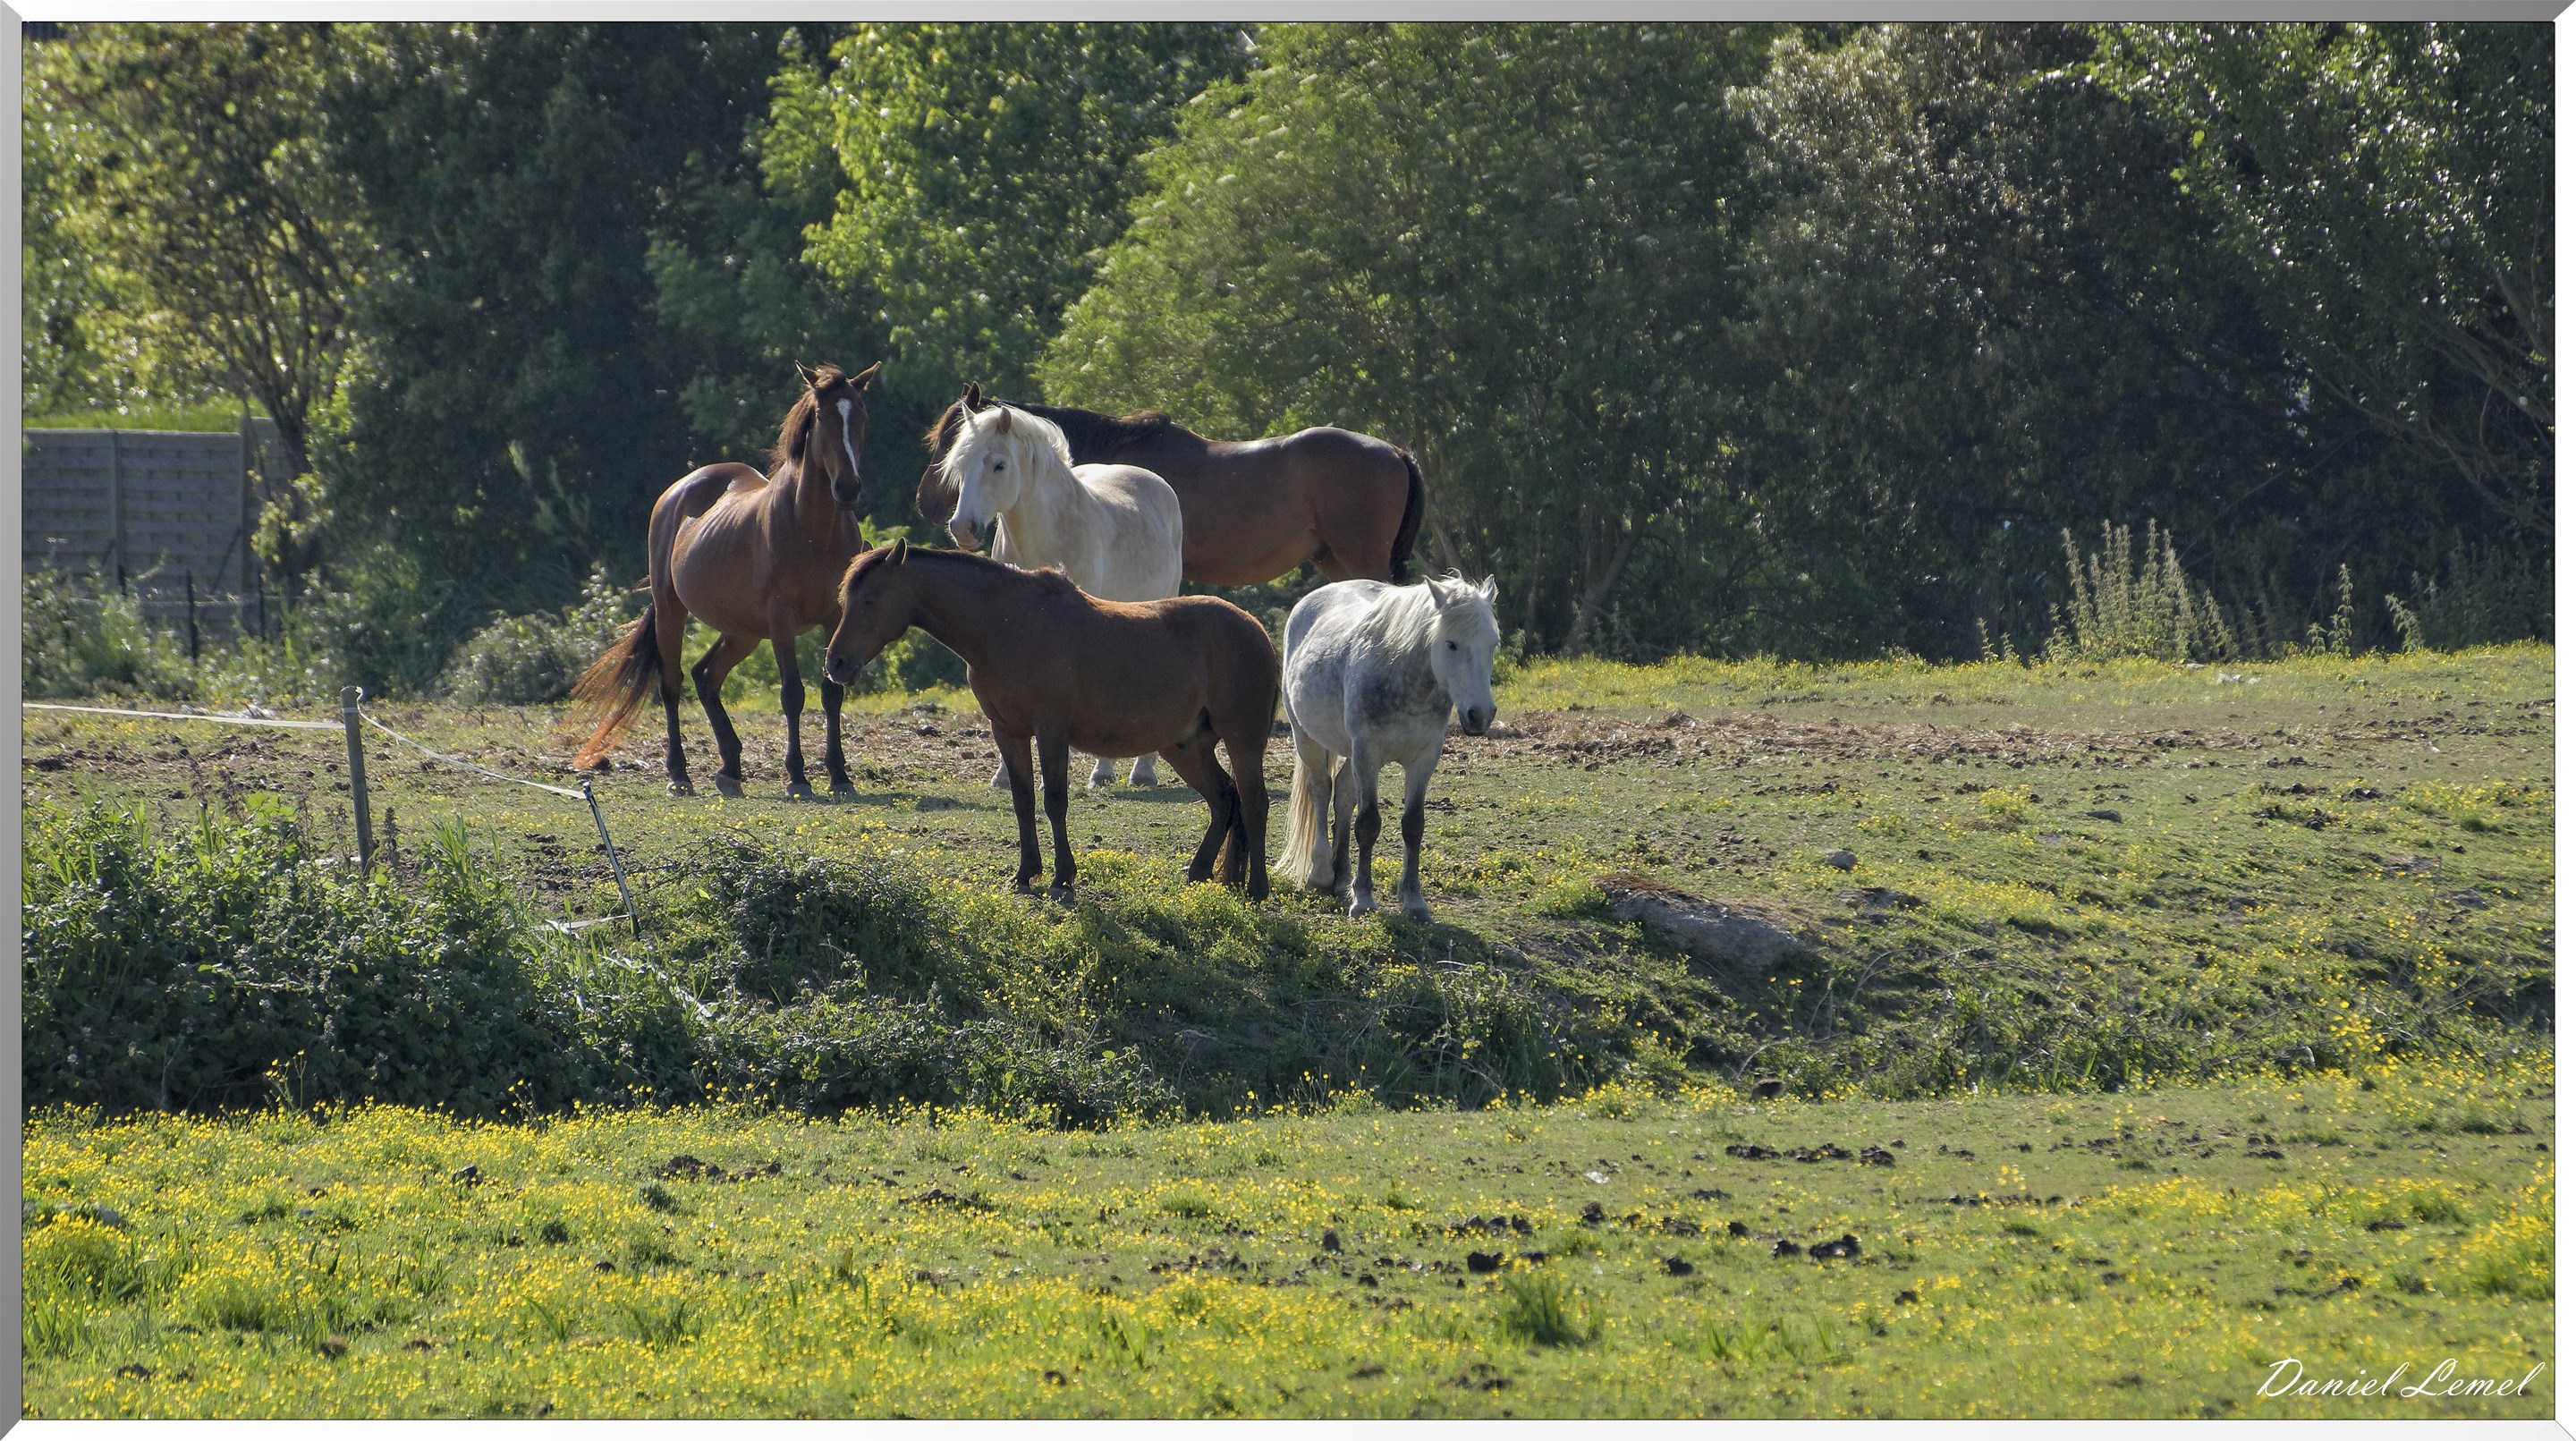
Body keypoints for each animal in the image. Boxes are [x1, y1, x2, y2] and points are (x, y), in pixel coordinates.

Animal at [568, 361, 880, 799]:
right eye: (821, 417)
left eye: (862, 416)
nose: (848, 488)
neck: (813, 531)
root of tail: (680, 490)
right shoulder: (781, 622)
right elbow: (792, 694)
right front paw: (797, 778)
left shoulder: (836, 618)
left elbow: (832, 692)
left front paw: (839, 776)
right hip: (672, 612)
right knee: (672, 683)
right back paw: (679, 774)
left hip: (743, 632)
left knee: (706, 675)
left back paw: (730, 768)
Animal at [822, 540, 1276, 902]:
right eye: (846, 599)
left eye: (871, 599)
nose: (836, 663)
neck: (1011, 626)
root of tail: (1256, 629)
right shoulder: (1007, 731)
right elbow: (1023, 799)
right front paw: (1025, 873)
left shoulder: (1051, 731)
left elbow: (1054, 800)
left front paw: (1063, 877)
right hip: (1184, 747)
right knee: (1224, 799)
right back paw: (1201, 874)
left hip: (1243, 740)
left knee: (1254, 803)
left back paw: (1257, 889)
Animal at [1273, 573, 1500, 920]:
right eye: (1451, 643)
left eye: (1492, 644)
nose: (1481, 715)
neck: (1405, 682)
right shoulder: (1368, 755)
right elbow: (1368, 824)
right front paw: (1364, 900)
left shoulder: (1424, 759)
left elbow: (1413, 825)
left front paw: (1414, 901)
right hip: (1307, 740)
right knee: (1321, 791)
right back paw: (1321, 874)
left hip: (1349, 753)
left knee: (1342, 797)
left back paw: (1342, 879)